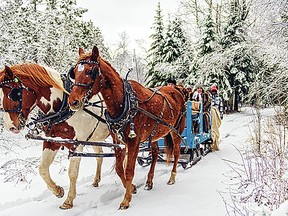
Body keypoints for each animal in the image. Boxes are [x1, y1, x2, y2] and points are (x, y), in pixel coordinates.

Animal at [0, 64, 109, 209]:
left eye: (14, 93)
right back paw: (96, 180)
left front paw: (68, 200)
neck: (61, 107)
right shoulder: (51, 142)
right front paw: (58, 191)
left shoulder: (76, 144)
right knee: (100, 156)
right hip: (95, 139)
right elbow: (42, 169)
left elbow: (72, 173)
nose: (9, 126)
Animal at [68, 46, 186, 209]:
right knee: (155, 154)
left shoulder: (134, 141)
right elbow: (120, 169)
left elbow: (129, 170)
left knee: (176, 152)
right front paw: (132, 188)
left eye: (90, 71)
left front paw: (126, 199)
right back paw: (149, 181)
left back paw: (172, 177)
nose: (73, 101)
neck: (124, 102)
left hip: (176, 130)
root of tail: (177, 89)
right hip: (155, 134)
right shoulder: (118, 141)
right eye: (74, 72)